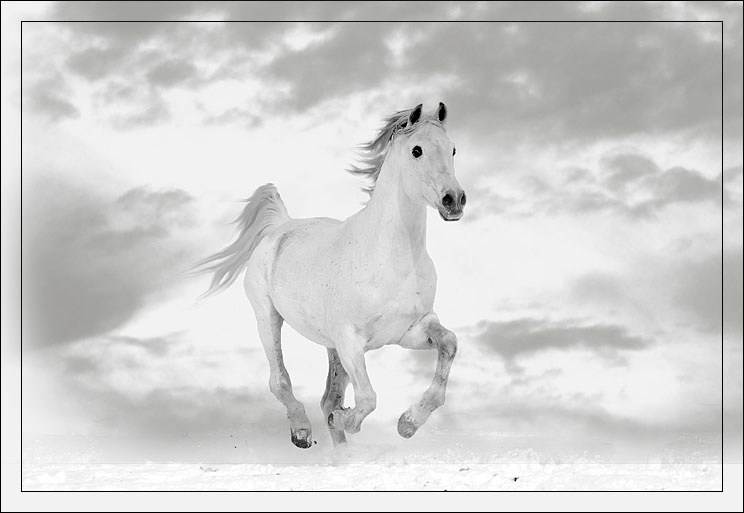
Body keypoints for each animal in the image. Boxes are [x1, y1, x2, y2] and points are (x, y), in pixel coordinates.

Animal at [195, 102, 466, 448]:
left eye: (453, 149)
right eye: (416, 150)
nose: (454, 200)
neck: (391, 260)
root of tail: (281, 225)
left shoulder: (410, 330)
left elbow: (449, 344)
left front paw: (408, 423)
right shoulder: (350, 341)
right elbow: (367, 398)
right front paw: (344, 419)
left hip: (332, 349)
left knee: (328, 396)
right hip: (268, 318)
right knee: (280, 380)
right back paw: (302, 431)